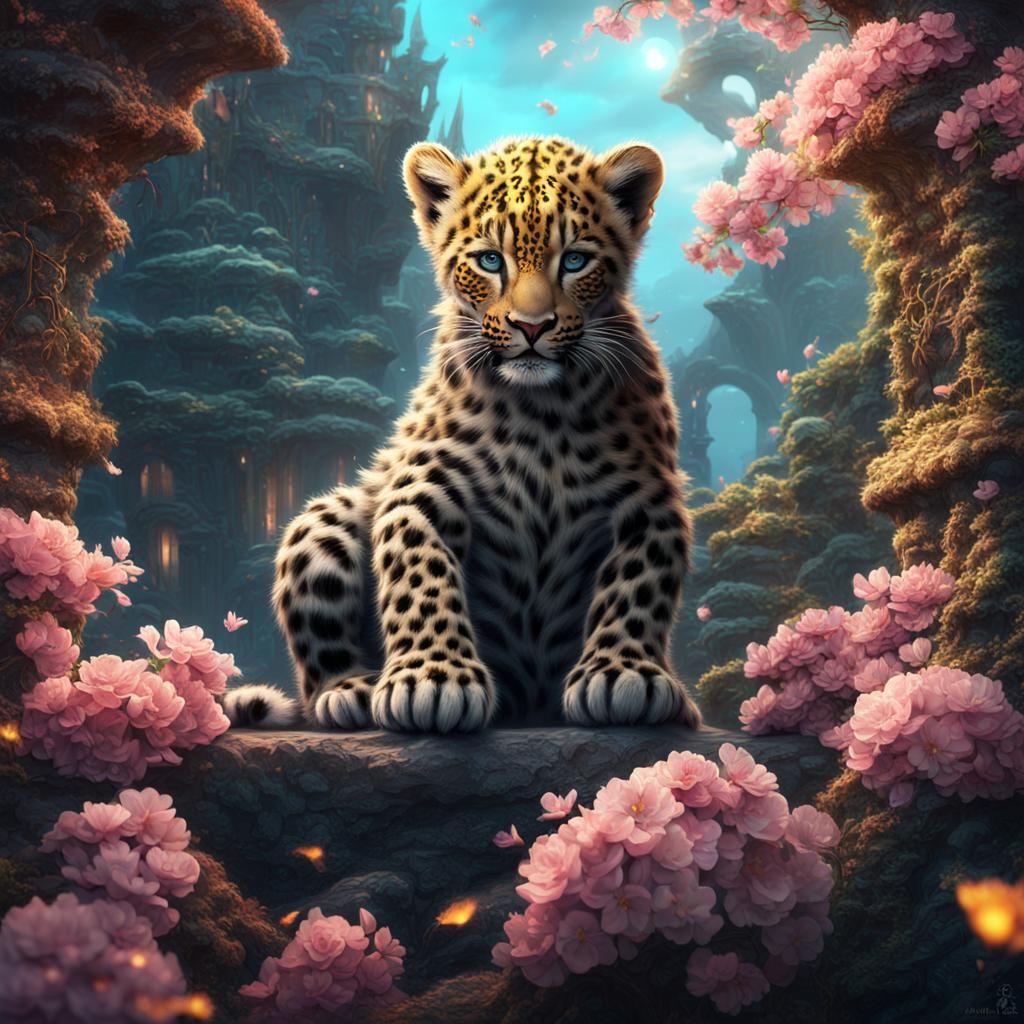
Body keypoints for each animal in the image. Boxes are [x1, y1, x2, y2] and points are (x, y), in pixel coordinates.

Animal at [224, 135, 703, 734]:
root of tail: (528, 707)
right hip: (323, 522)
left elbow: (639, 583)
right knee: (317, 670)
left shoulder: (651, 499)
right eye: (490, 261)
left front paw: (624, 674)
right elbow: (419, 572)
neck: (541, 410)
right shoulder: (419, 487)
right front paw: (431, 680)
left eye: (575, 260)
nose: (531, 327)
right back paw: (350, 691)